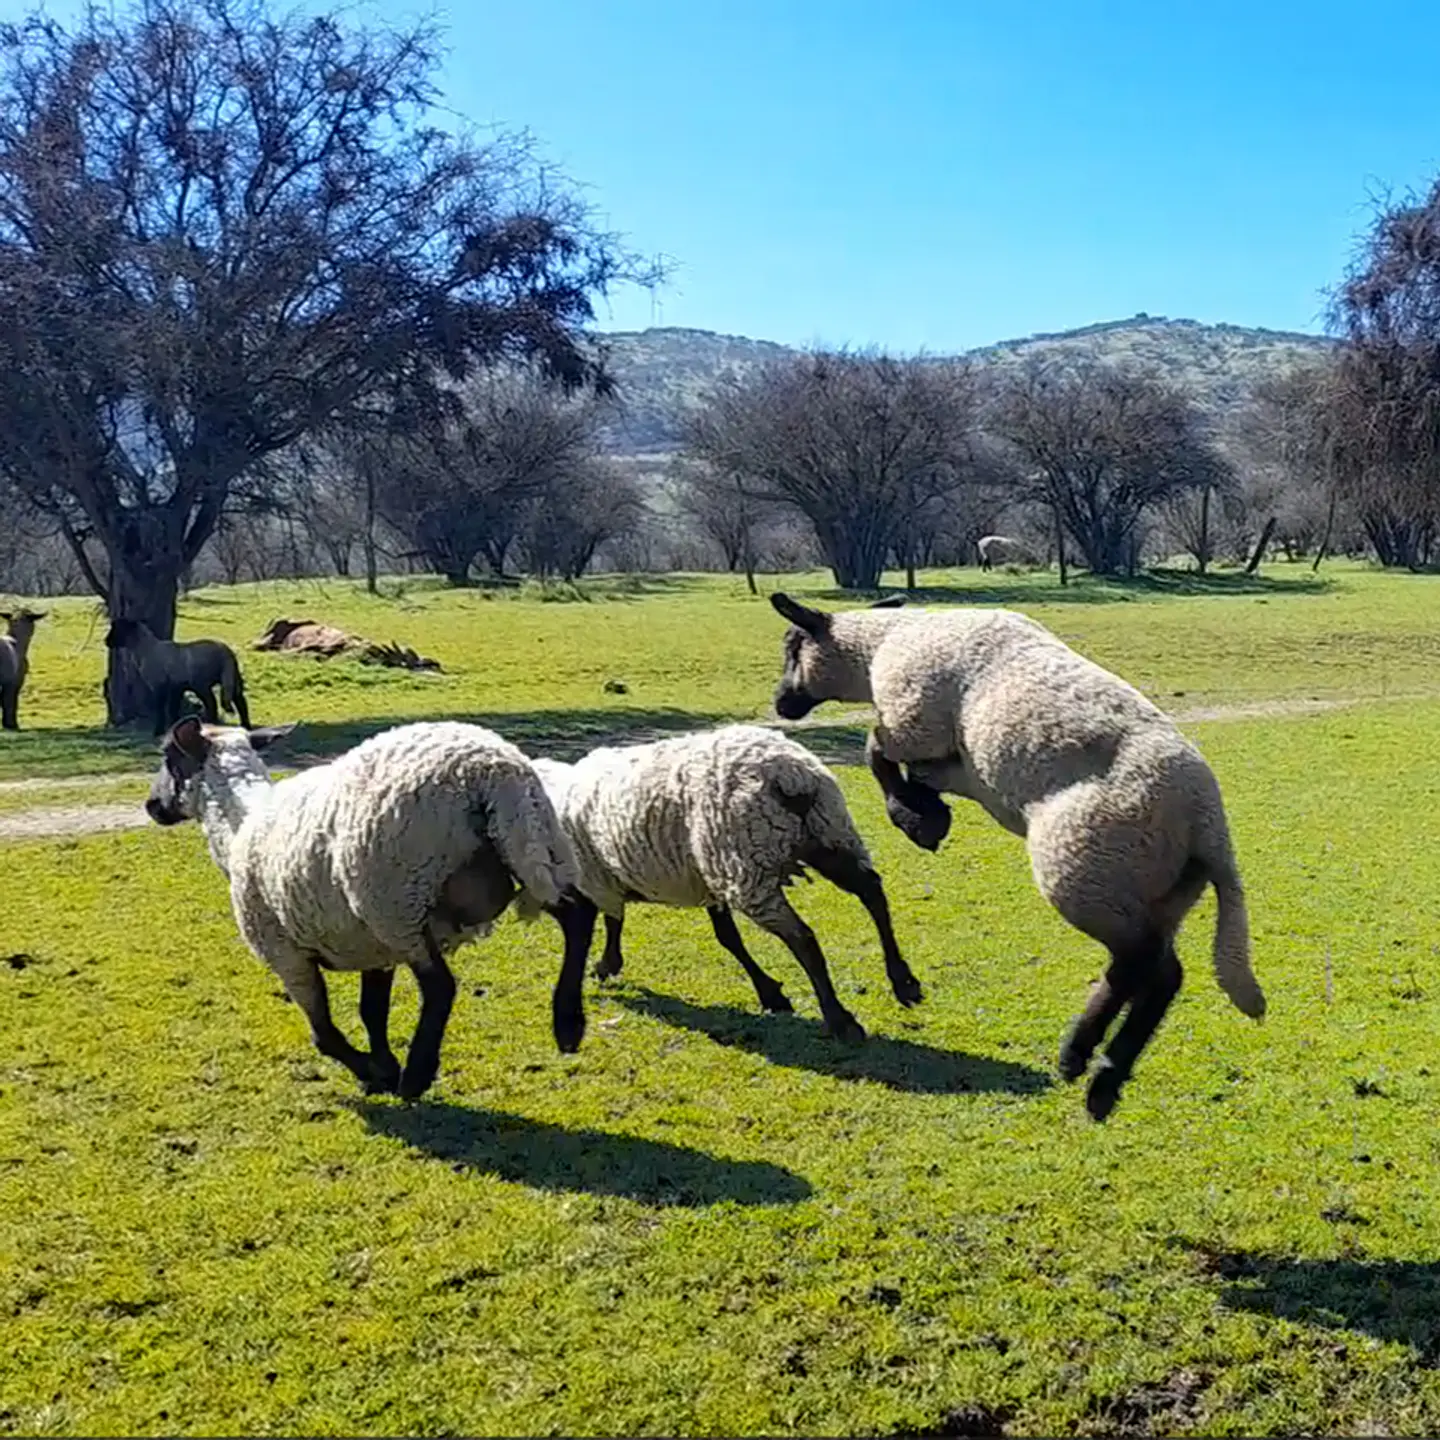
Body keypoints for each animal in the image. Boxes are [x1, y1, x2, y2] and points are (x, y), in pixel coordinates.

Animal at [105, 618, 252, 736]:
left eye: (117, 629)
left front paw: (158, 731)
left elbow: (161, 708)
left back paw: (211, 725)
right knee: (241, 702)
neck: (146, 649)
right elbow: (173, 709)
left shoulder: (159, 685)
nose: (106, 641)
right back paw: (246, 727)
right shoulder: (175, 688)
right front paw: (173, 728)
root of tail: (226, 651)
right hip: (233, 678)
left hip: (201, 683)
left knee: (212, 704)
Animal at [143, 716, 595, 1098]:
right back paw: (568, 1024)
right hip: (531, 845)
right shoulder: (372, 948)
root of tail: (490, 770)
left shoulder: (285, 954)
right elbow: (371, 1012)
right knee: (578, 915)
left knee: (441, 986)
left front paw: (376, 1073)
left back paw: (417, 1074)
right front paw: (382, 1063)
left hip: (398, 901)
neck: (238, 825)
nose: (151, 806)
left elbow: (324, 1034)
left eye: (167, 758)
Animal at [522, 724, 922, 1043]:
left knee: (804, 938)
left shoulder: (598, 880)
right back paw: (904, 982)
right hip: (827, 834)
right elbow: (728, 938)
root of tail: (791, 775)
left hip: (749, 863)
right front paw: (770, 993)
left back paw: (839, 1019)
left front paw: (607, 965)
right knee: (873, 893)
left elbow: (613, 921)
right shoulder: (708, 882)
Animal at [768, 592, 1264, 1119]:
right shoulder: (957, 768)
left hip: (1084, 869)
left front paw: (916, 820)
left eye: (792, 647)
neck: (882, 645)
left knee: (1138, 961)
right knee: (1163, 973)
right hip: (1159, 892)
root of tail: (1207, 826)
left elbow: (874, 748)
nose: (780, 703)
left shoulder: (915, 724)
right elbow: (904, 766)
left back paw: (1084, 1059)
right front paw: (926, 814)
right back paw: (1098, 1075)